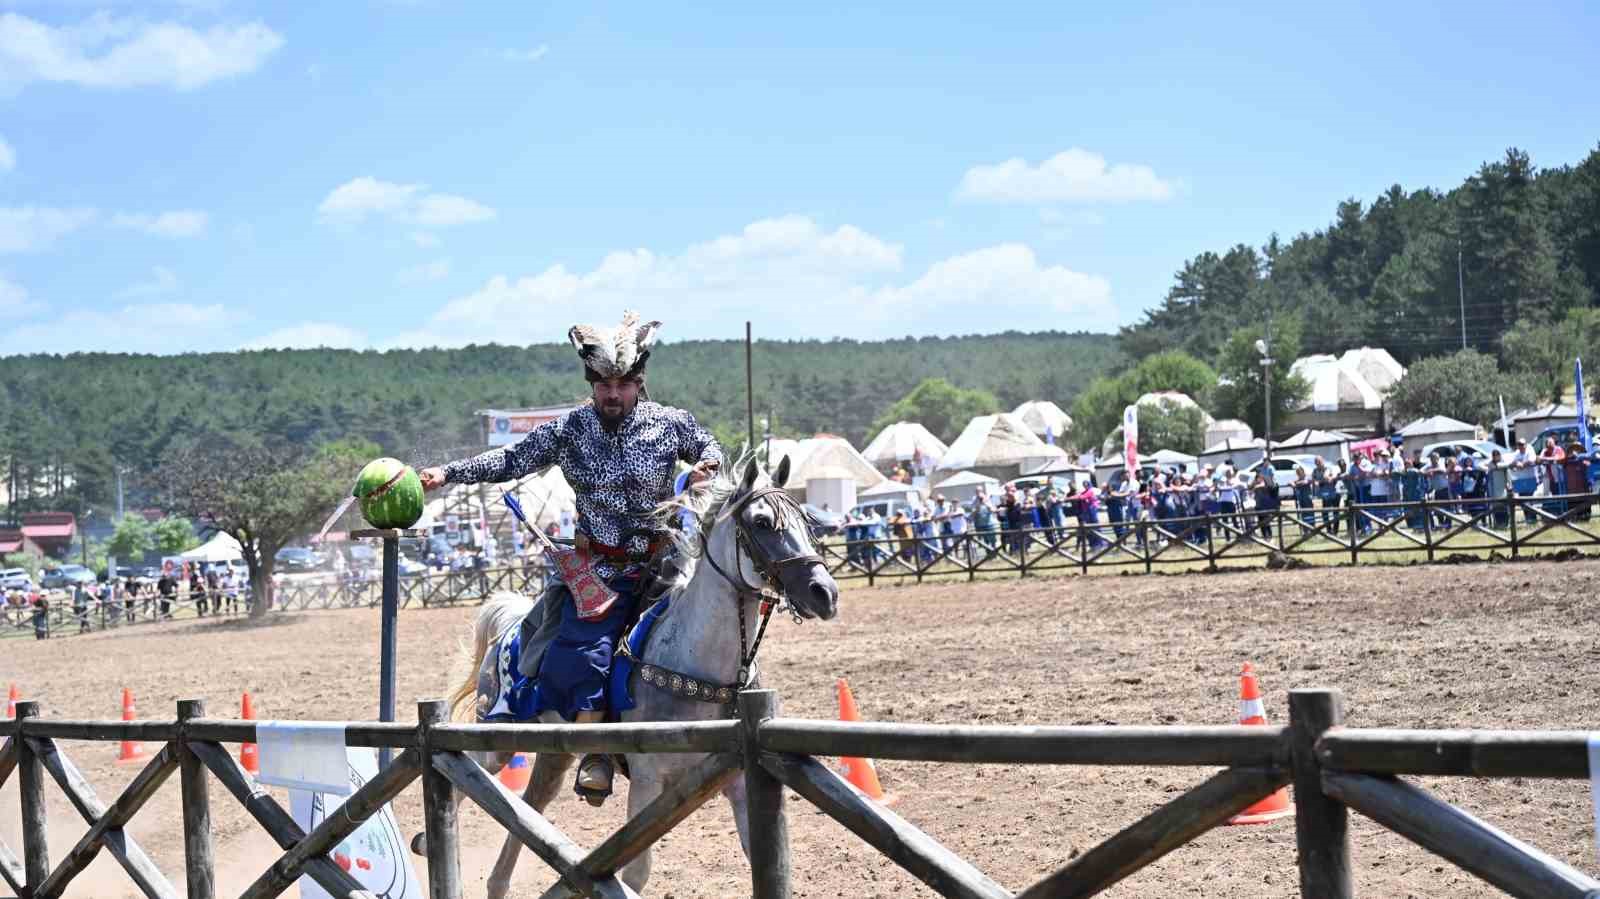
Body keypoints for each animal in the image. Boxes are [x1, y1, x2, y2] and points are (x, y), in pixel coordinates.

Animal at [432, 457, 844, 889]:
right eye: (762, 522)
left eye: (806, 521)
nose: (824, 593)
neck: (695, 664)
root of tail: (510, 628)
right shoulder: (647, 781)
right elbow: (636, 873)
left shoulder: (738, 778)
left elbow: (761, 856)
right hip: (497, 736)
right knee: (470, 772)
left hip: (554, 752)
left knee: (530, 804)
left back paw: (495, 880)